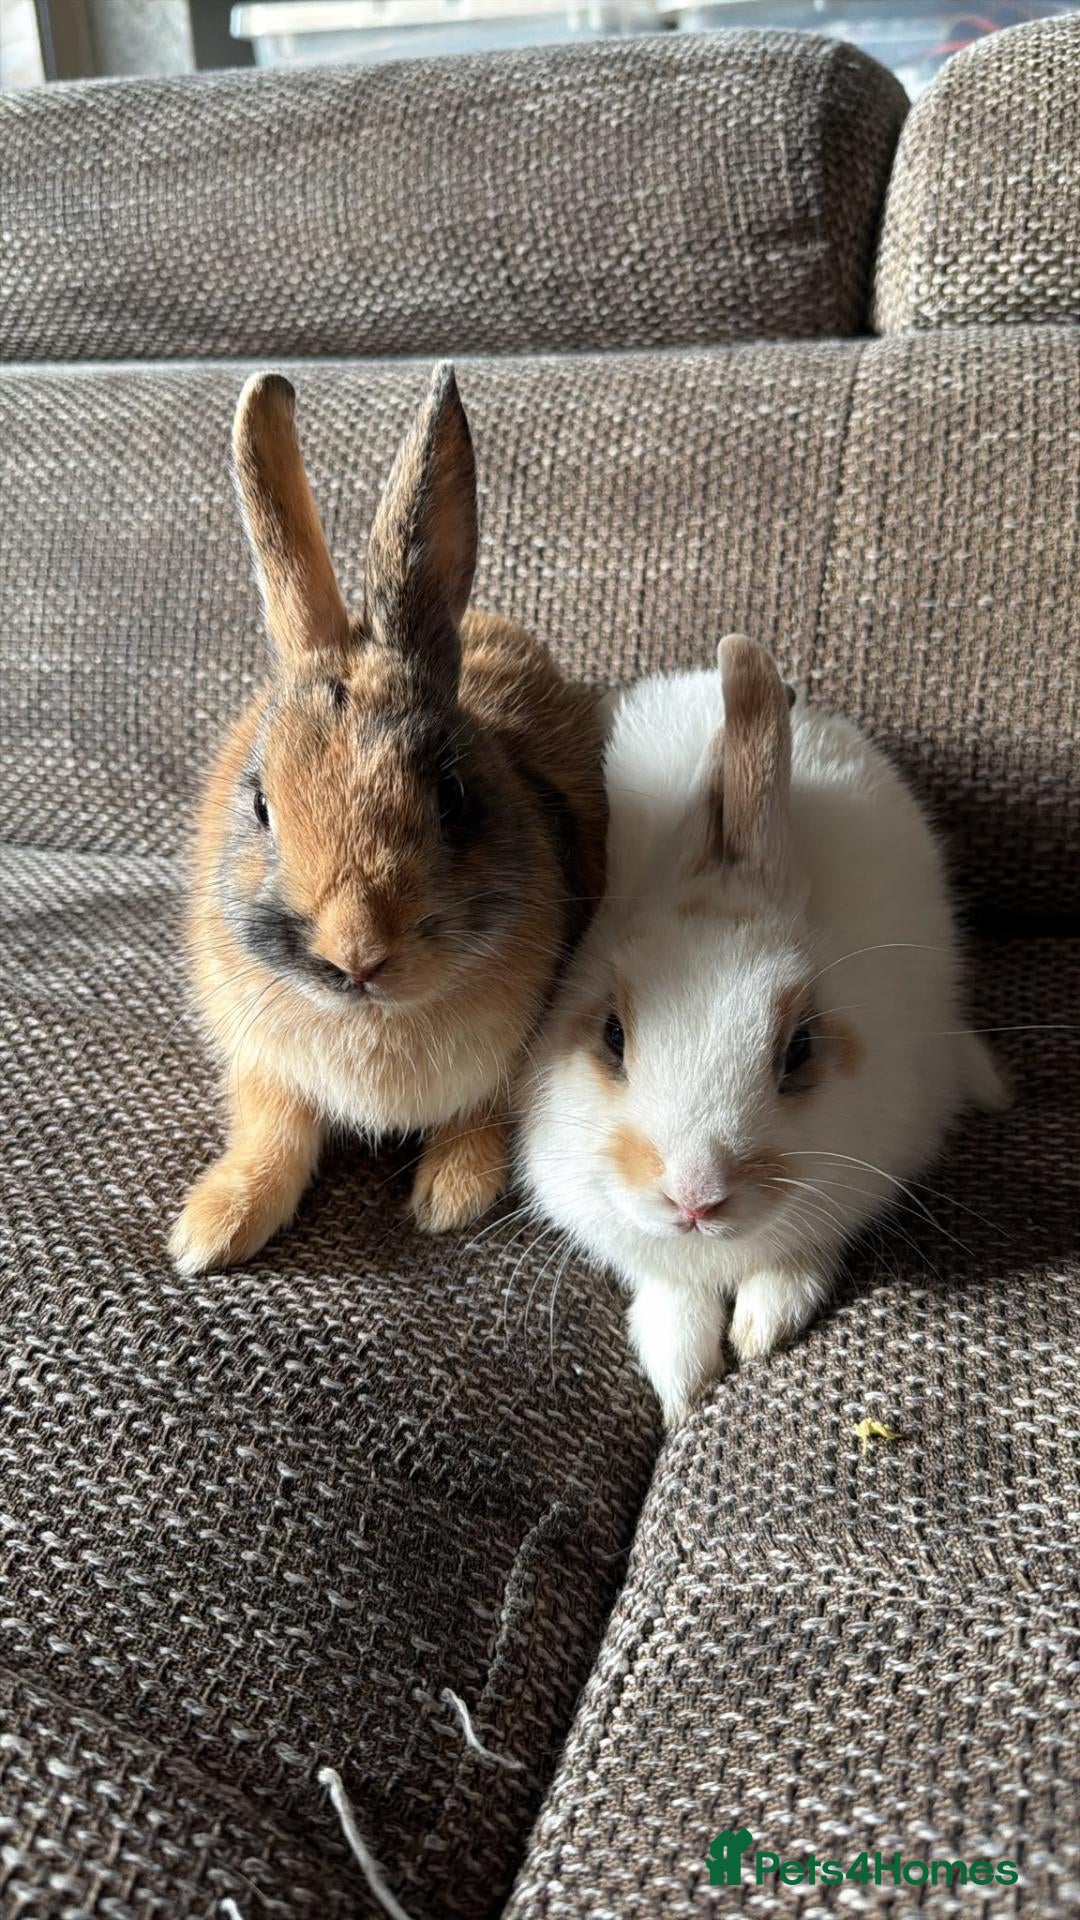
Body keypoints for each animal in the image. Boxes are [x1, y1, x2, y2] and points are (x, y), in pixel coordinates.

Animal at [169, 364, 606, 1276]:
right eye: (259, 804)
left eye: (452, 797)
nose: (356, 955)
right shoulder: (264, 1066)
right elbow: (273, 1134)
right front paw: (212, 1229)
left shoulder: (509, 1058)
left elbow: (480, 1115)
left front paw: (451, 1197)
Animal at [518, 635, 1007, 1427]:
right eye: (612, 1035)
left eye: (799, 1048)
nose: (695, 1198)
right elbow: (667, 1289)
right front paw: (684, 1382)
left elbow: (799, 1257)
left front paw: (762, 1327)